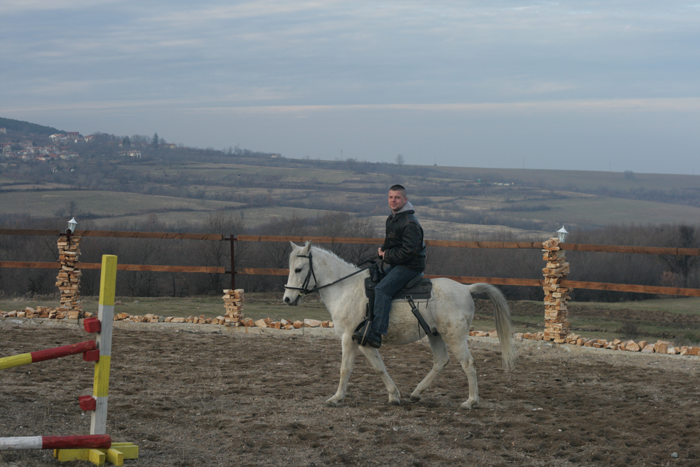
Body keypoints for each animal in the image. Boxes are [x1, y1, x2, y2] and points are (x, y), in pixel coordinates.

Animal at [282, 241, 516, 410]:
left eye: (299, 269)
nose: (287, 299)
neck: (346, 288)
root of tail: (466, 289)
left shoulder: (348, 338)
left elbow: (345, 369)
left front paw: (337, 398)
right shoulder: (364, 340)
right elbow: (379, 367)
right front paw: (394, 395)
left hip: (455, 337)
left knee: (468, 364)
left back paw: (471, 401)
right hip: (435, 334)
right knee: (441, 361)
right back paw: (416, 393)